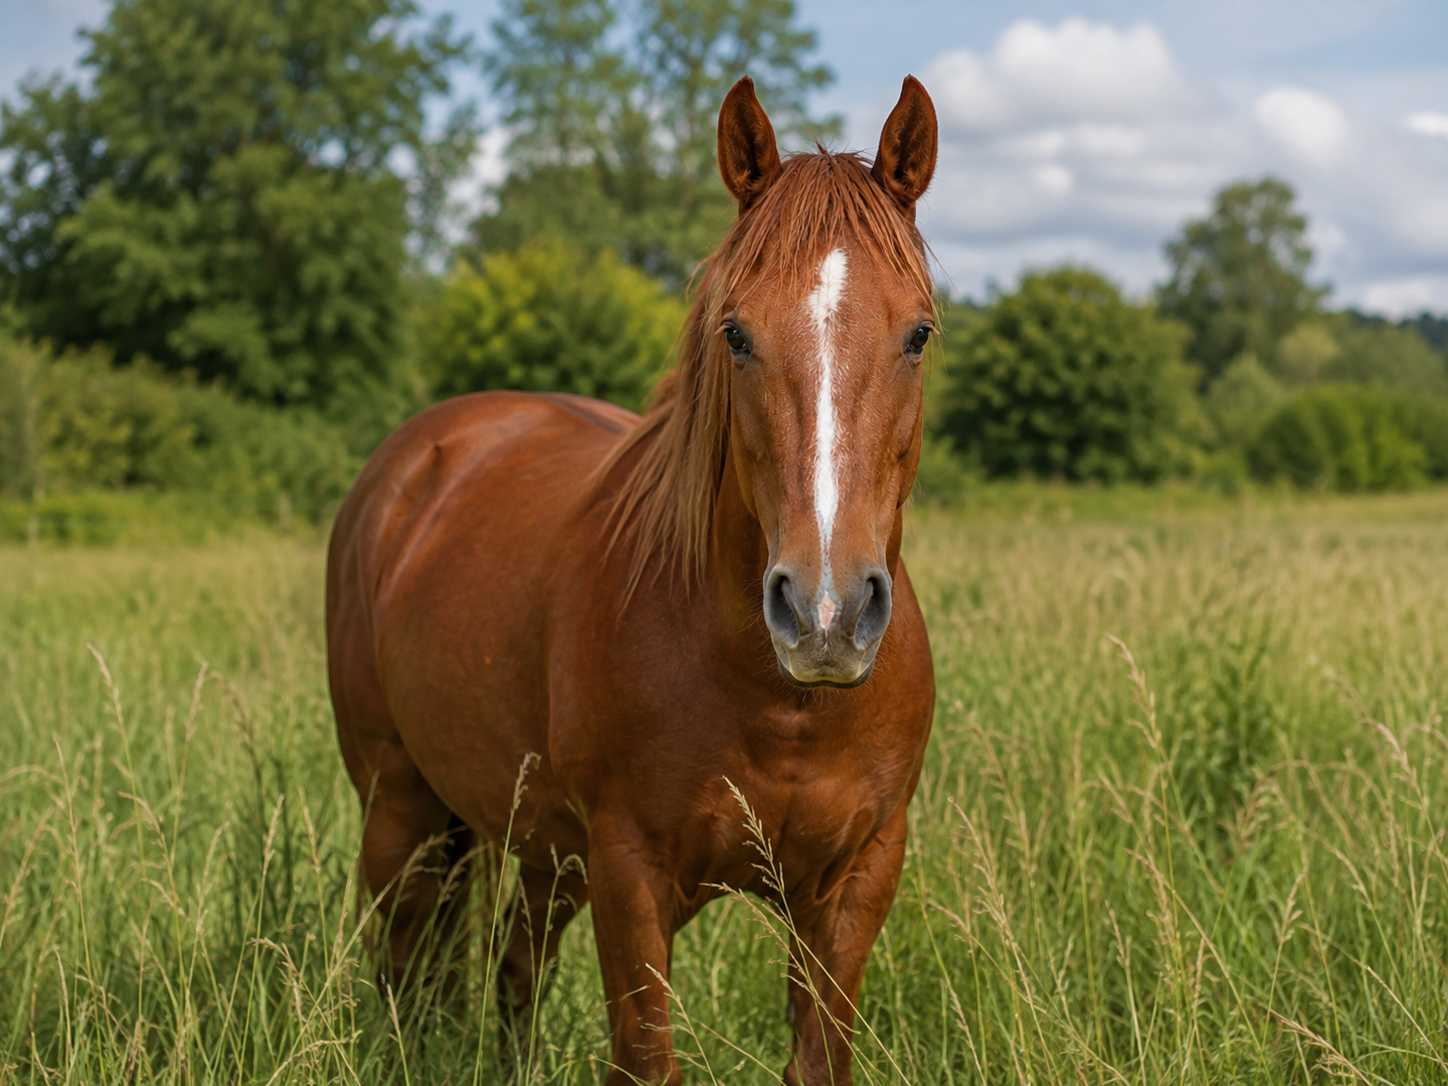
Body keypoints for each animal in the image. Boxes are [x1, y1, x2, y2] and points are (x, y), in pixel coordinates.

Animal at [325, 74, 939, 1085]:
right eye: (736, 334)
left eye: (918, 334)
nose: (825, 614)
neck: (779, 699)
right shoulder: (629, 872)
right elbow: (646, 1058)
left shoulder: (856, 881)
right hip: (398, 810)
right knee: (402, 967)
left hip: (542, 852)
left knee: (513, 972)